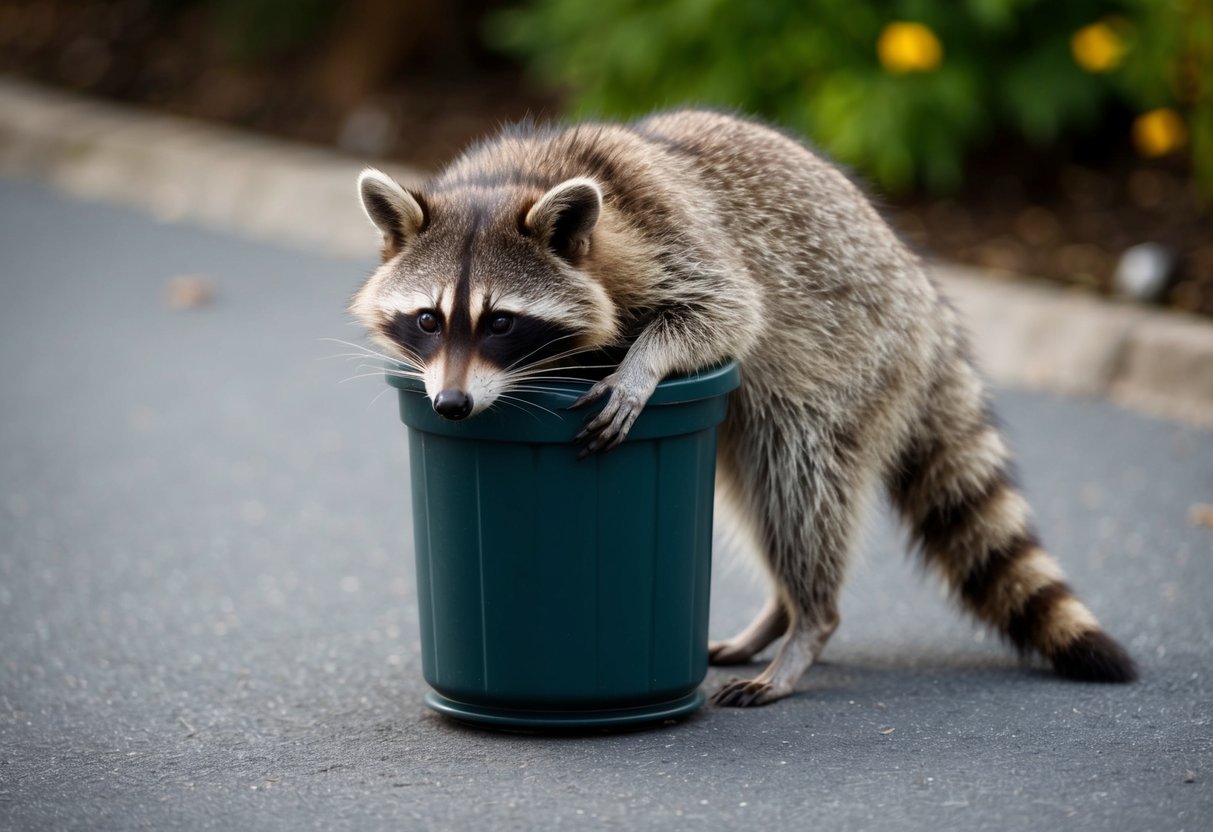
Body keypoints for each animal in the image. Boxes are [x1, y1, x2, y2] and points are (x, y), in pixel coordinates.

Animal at [351, 110, 1136, 706]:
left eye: (501, 323)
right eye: (428, 320)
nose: (451, 404)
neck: (510, 179)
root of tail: (924, 296)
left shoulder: (672, 237)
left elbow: (728, 310)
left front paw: (642, 363)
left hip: (853, 364)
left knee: (800, 488)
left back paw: (809, 620)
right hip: (749, 419)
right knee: (755, 495)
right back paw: (779, 613)